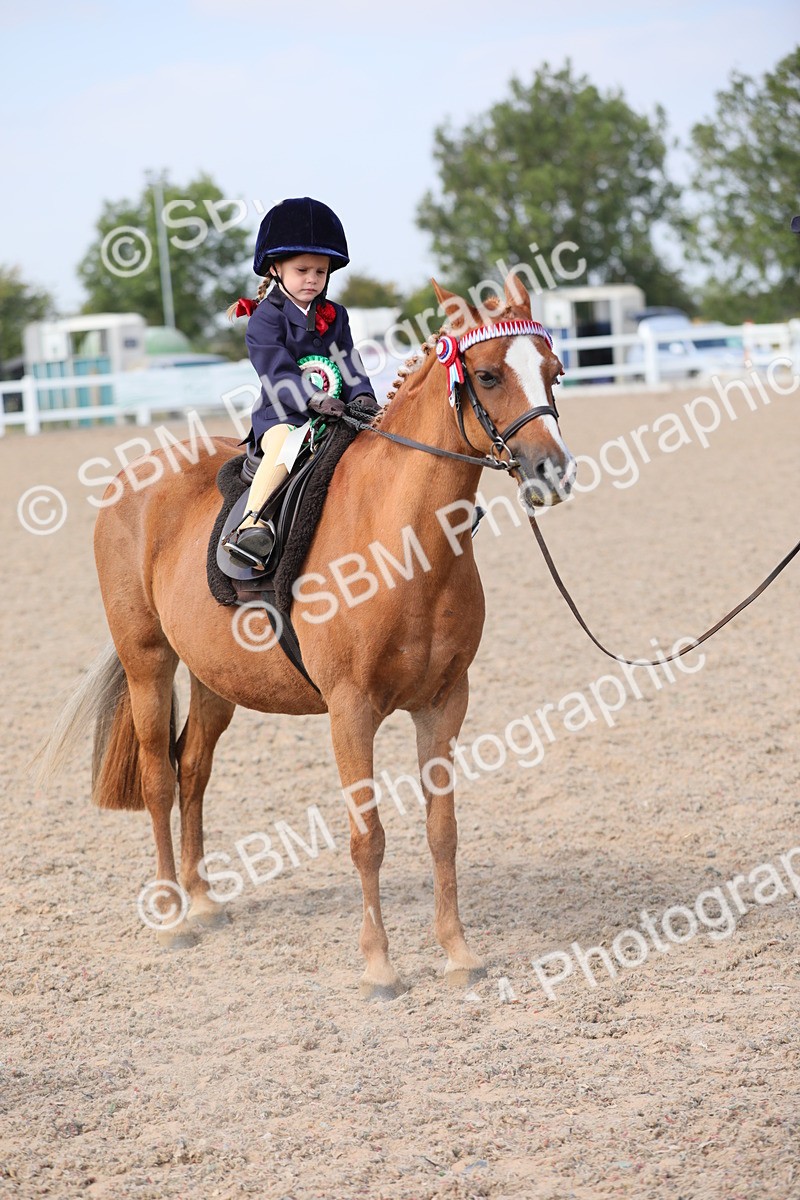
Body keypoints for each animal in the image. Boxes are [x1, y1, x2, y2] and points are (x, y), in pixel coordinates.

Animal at [39, 274, 575, 999]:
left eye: (554, 371)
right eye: (487, 375)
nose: (552, 472)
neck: (405, 540)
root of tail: (135, 479)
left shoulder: (443, 703)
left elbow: (442, 831)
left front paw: (458, 954)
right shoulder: (350, 710)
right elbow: (367, 837)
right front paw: (379, 967)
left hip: (214, 680)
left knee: (192, 770)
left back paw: (202, 903)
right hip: (149, 663)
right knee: (157, 778)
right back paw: (174, 918)